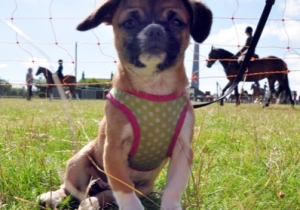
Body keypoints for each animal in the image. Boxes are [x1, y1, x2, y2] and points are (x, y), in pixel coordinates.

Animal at [38, 0, 211, 209]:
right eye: (129, 23)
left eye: (177, 22)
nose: (154, 30)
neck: (154, 86)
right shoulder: (114, 150)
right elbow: (124, 189)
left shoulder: (182, 152)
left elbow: (172, 190)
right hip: (78, 161)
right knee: (70, 188)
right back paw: (54, 196)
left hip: (142, 188)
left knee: (103, 193)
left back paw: (92, 201)